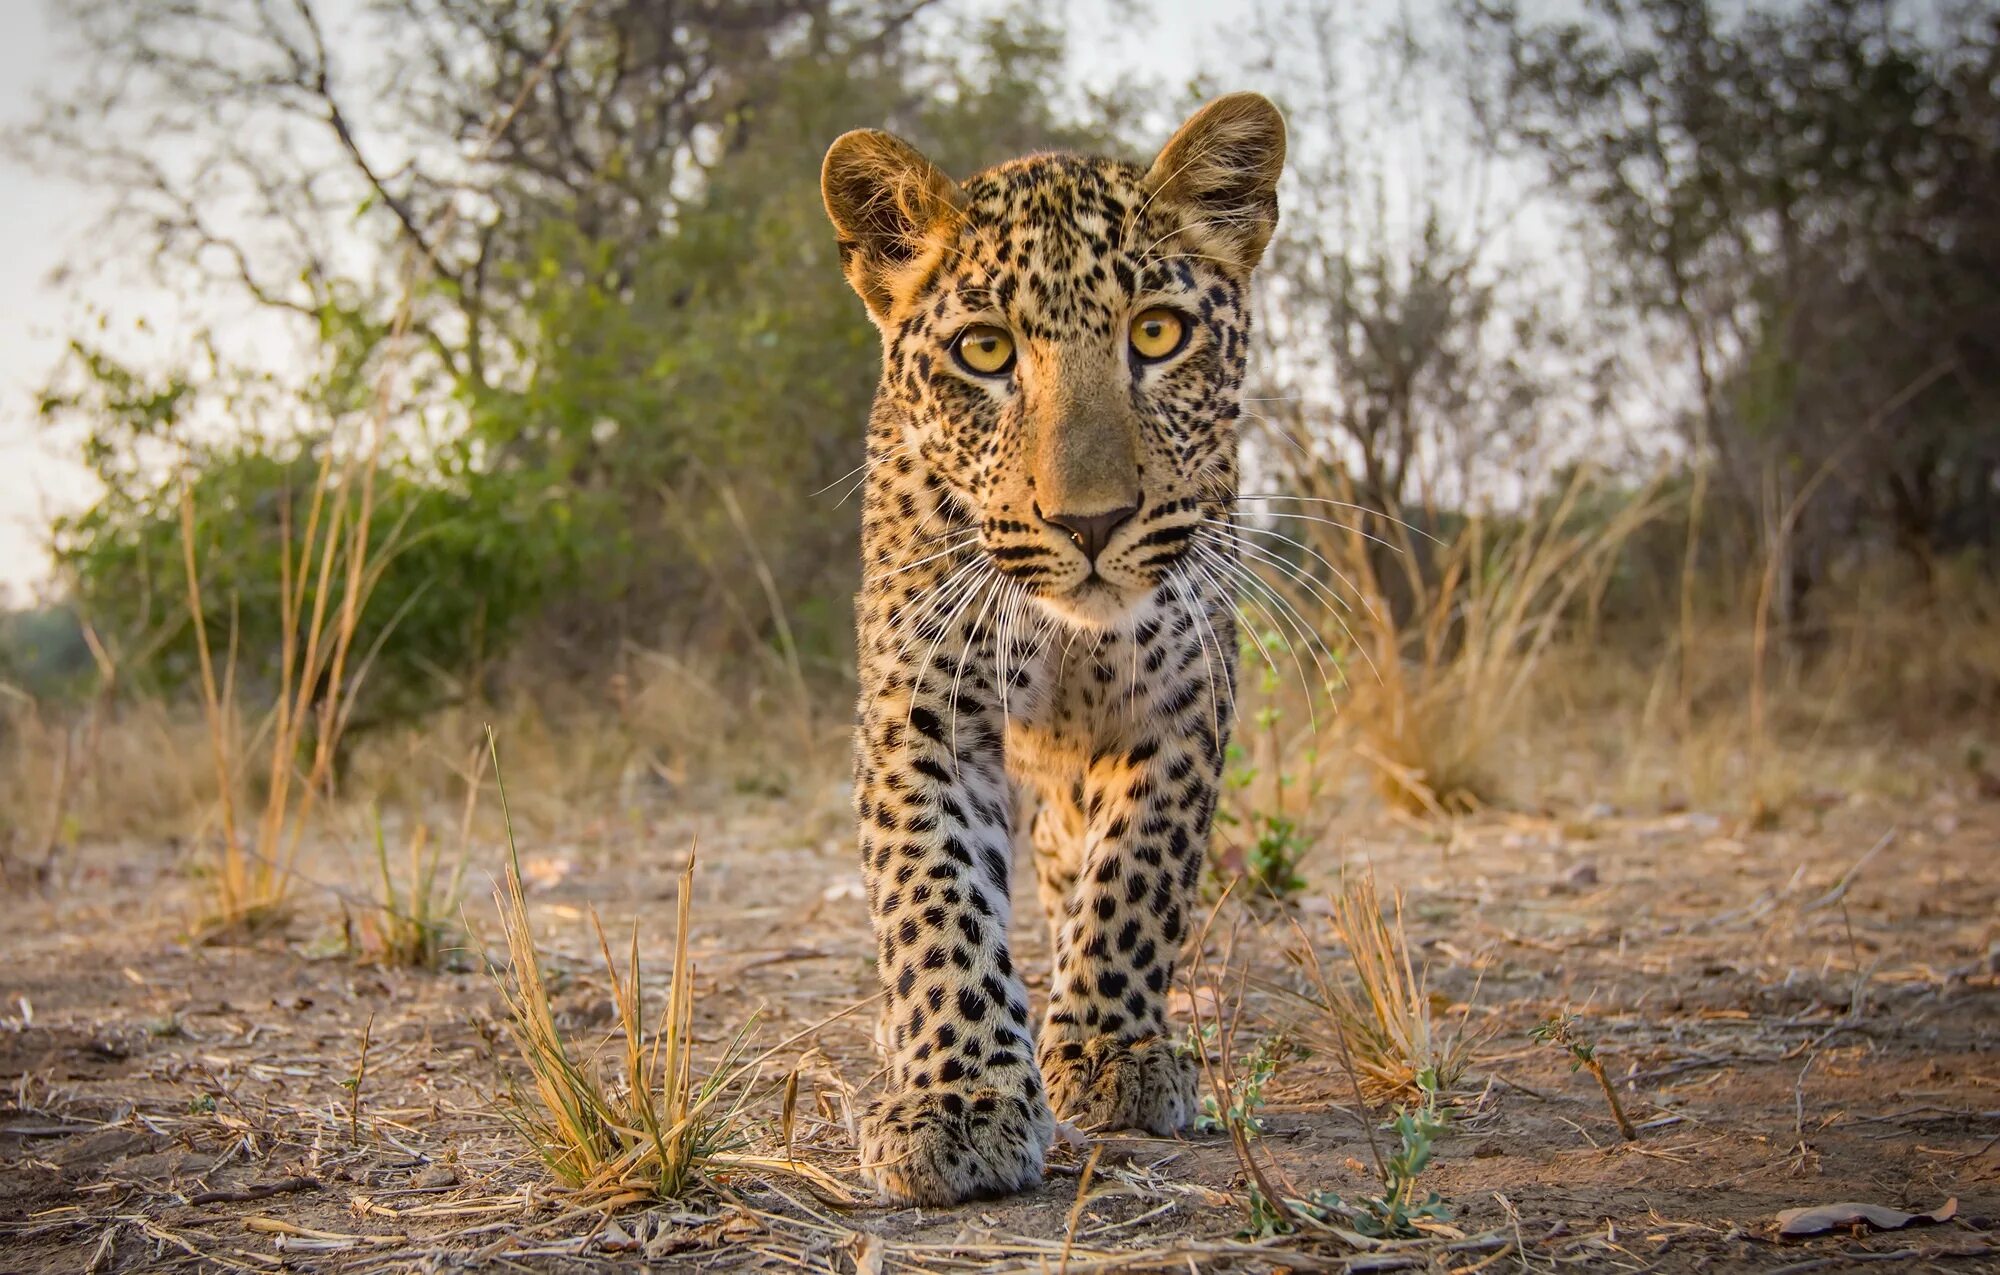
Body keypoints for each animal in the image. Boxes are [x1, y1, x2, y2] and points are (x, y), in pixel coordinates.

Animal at [820, 89, 1288, 1207]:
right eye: (985, 353)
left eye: (1157, 334)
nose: (1091, 521)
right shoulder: (922, 709)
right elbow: (935, 898)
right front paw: (956, 1098)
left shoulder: (1184, 701)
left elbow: (1138, 878)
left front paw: (1110, 1049)